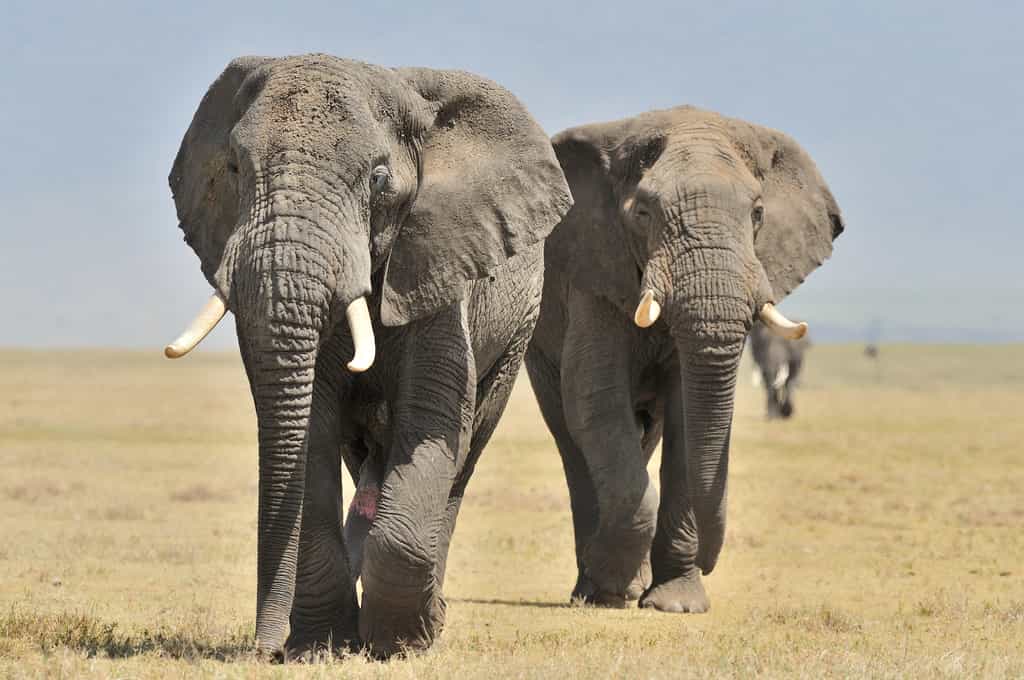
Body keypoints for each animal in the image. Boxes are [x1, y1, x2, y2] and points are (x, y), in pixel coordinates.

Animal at [163, 55, 572, 659]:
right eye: (234, 169)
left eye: (378, 179)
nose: (266, 650)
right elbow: (310, 428)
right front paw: (323, 645)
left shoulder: (440, 267)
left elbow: (431, 420)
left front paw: (402, 642)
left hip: (518, 329)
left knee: (465, 456)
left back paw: (429, 618)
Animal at [524, 105, 843, 613]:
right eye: (642, 214)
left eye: (757, 214)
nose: (711, 560)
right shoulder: (596, 271)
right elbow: (595, 400)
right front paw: (613, 589)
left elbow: (688, 418)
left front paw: (675, 604)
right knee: (571, 436)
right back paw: (595, 590)